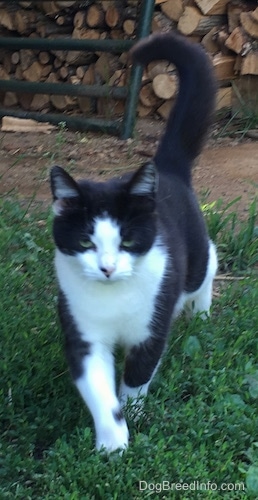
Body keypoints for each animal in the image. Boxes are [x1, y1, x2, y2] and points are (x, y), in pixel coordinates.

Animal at [50, 31, 218, 454]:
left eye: (126, 238)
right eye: (86, 241)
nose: (107, 268)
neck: (114, 299)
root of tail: (167, 168)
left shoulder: (152, 322)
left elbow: (139, 373)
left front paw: (136, 412)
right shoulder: (82, 330)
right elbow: (97, 386)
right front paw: (113, 442)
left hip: (193, 258)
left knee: (208, 264)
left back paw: (201, 311)